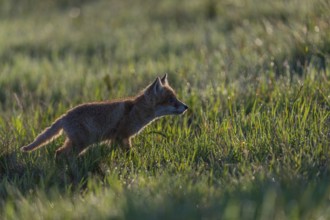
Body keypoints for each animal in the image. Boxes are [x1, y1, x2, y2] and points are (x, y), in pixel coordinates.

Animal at [20, 75, 188, 157]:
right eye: (172, 101)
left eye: (176, 98)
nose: (186, 107)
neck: (136, 111)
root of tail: (64, 115)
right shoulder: (123, 137)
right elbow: (130, 155)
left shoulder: (115, 139)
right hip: (81, 143)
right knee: (60, 153)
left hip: (77, 143)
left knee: (59, 152)